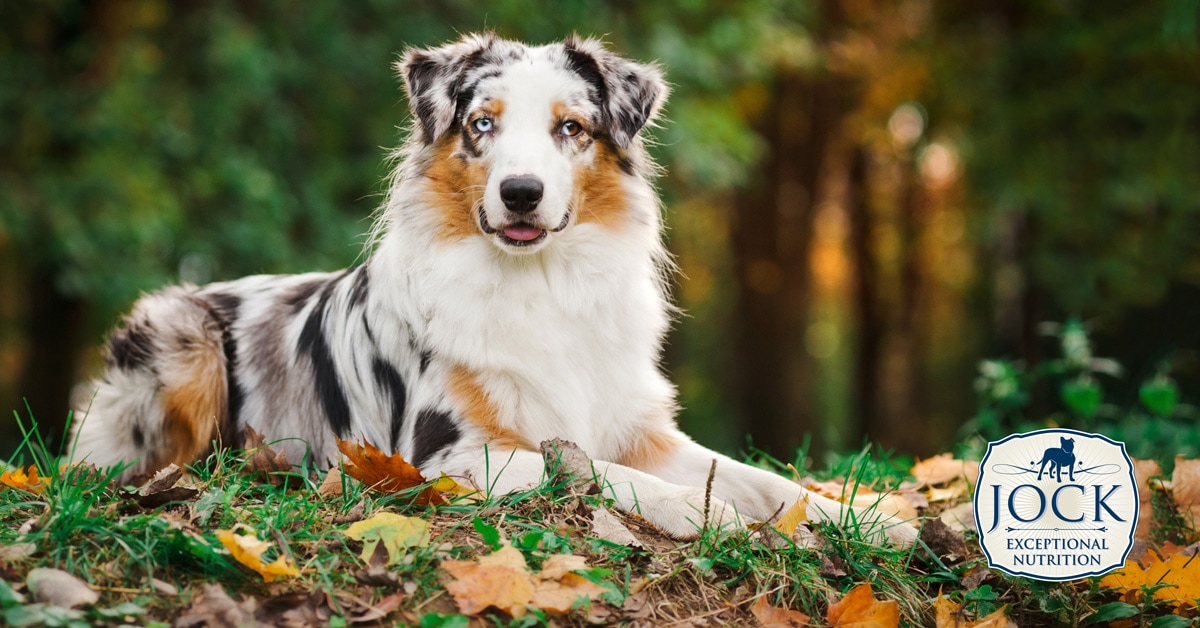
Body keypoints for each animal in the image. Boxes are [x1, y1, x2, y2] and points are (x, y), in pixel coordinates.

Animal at [70, 31, 912, 547]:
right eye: (482, 124)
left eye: (571, 128)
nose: (521, 192)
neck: (541, 281)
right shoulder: (447, 455)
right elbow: (594, 469)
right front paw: (694, 511)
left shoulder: (640, 428)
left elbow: (757, 477)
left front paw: (870, 518)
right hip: (180, 335)